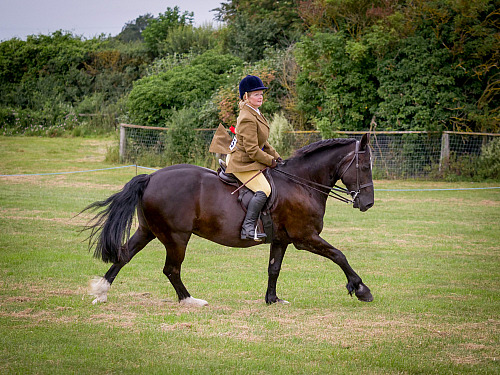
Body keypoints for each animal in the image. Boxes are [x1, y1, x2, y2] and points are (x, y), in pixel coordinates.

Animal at [83, 134, 376, 306]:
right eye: (364, 167)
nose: (368, 204)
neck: (301, 183)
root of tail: (151, 177)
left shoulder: (281, 240)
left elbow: (274, 268)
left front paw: (272, 299)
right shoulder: (305, 237)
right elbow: (339, 255)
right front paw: (361, 289)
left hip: (149, 231)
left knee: (124, 255)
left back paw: (101, 291)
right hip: (176, 237)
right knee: (171, 269)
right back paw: (189, 300)